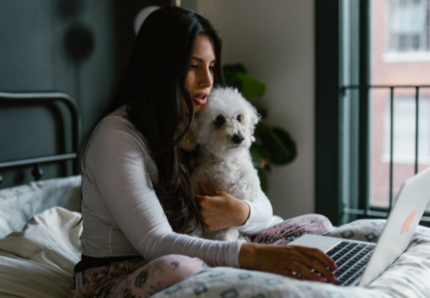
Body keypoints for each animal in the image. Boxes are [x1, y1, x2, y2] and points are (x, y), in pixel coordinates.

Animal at [189, 86, 262, 242]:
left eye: (239, 117)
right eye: (219, 120)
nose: (239, 137)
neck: (226, 162)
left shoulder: (235, 207)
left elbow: (227, 232)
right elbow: (193, 228)